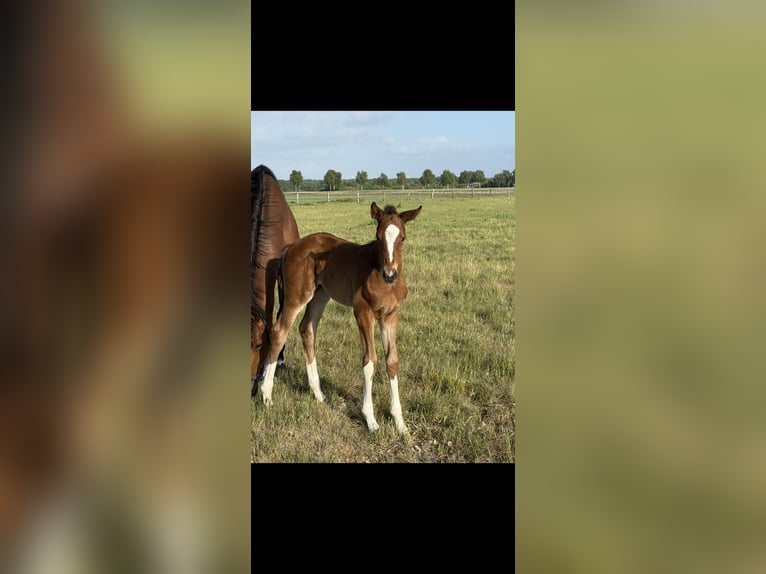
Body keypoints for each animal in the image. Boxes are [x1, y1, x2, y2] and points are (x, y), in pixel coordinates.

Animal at [258, 201, 422, 434]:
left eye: (403, 238)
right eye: (378, 236)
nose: (390, 275)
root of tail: (291, 248)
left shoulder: (390, 316)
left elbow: (392, 361)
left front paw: (400, 423)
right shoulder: (363, 312)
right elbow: (370, 361)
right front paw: (370, 419)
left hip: (320, 295)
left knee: (306, 329)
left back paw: (318, 393)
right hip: (297, 296)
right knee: (280, 331)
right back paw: (266, 394)